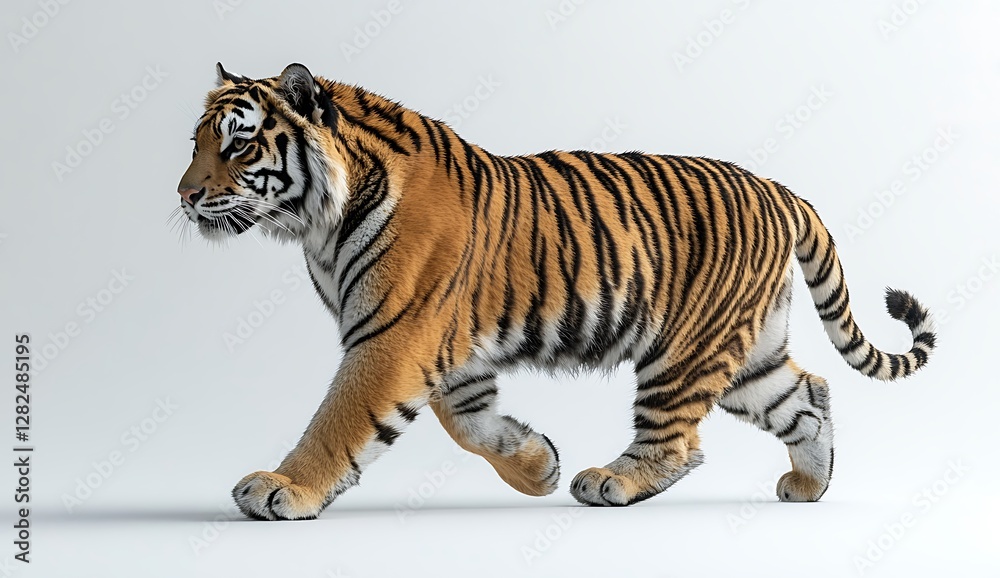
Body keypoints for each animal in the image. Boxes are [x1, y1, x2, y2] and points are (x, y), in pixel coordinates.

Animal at [176, 63, 936, 520]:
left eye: (238, 145)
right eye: (195, 142)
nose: (183, 195)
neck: (316, 223)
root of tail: (782, 190)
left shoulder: (392, 337)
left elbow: (337, 421)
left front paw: (282, 488)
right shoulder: (447, 347)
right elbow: (468, 421)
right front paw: (536, 463)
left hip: (684, 347)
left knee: (681, 441)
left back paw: (612, 481)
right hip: (747, 349)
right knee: (808, 393)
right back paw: (809, 485)